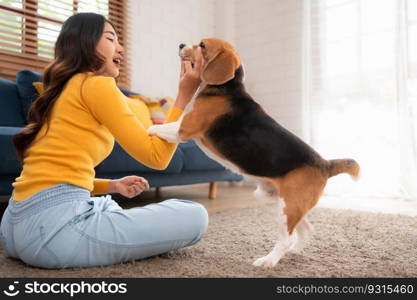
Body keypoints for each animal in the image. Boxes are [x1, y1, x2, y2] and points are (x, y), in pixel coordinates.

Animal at [148, 37, 360, 268]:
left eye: (202, 45)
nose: (181, 44)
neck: (227, 88)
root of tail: (325, 163)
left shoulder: (183, 129)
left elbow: (160, 128)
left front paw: (147, 129)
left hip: (288, 207)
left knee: (286, 238)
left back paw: (269, 260)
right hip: (289, 204)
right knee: (306, 230)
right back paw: (294, 251)